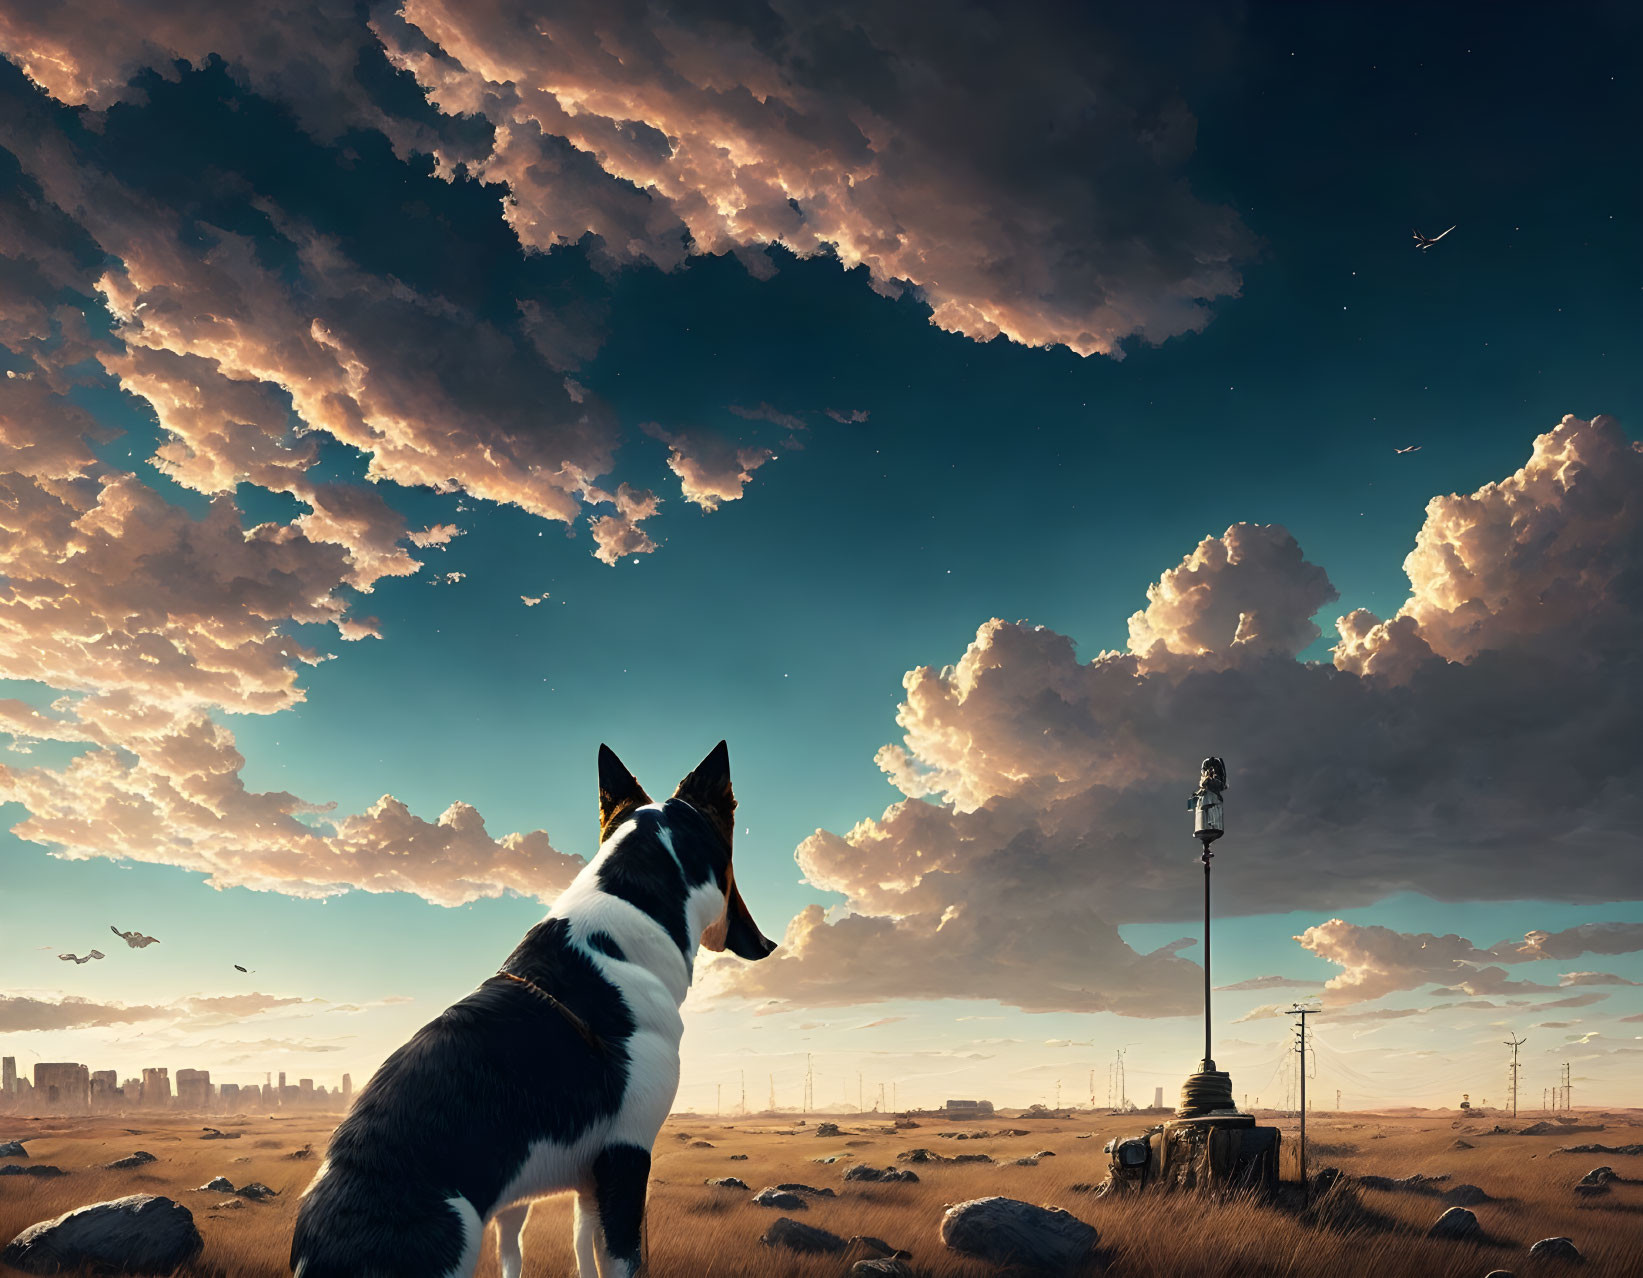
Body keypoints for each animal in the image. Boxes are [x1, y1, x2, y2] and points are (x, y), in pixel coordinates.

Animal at [290, 742, 775, 1274]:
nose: (769, 946)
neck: (630, 910)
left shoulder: (590, 1183)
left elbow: (579, 1253)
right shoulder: (625, 1158)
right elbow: (623, 1260)